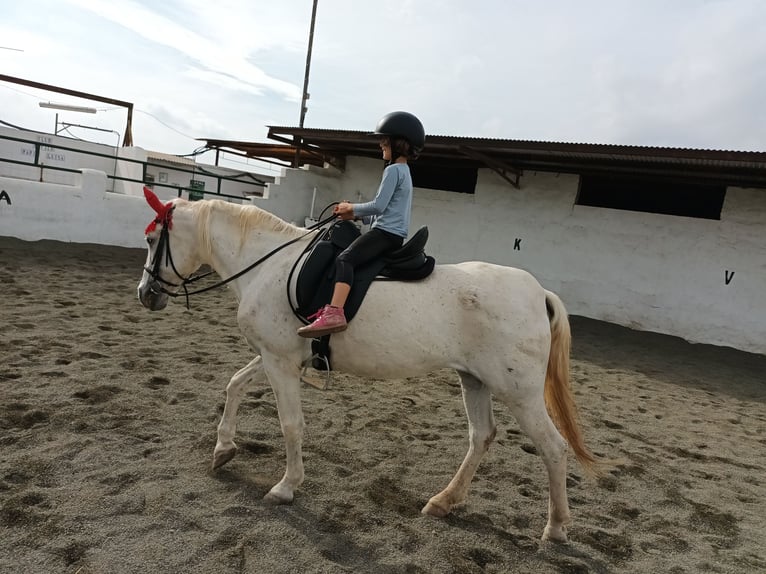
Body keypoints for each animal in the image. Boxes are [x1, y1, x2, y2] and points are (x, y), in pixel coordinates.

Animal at [140, 194, 600, 544]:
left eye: (151, 239)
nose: (146, 294)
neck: (268, 265)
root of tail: (538, 292)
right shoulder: (276, 356)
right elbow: (235, 385)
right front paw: (223, 450)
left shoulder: (279, 362)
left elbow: (291, 424)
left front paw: (286, 487)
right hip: (475, 381)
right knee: (481, 437)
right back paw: (444, 501)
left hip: (519, 393)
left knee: (553, 448)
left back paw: (556, 528)